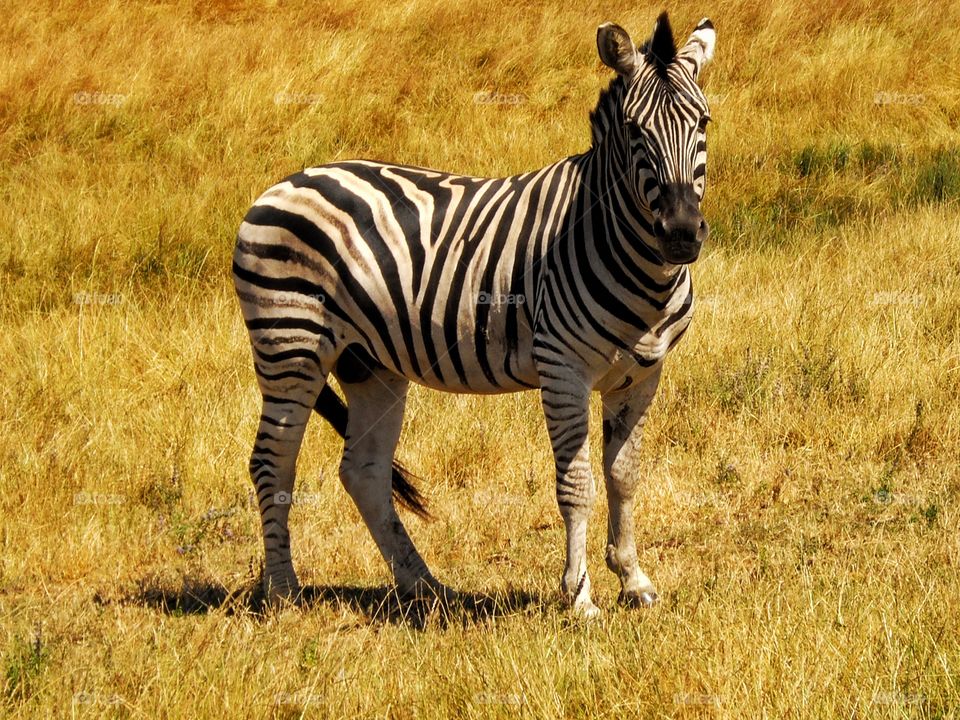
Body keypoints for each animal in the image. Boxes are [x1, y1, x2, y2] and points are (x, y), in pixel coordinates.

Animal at [233, 13, 715, 617]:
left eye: (704, 122)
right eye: (634, 132)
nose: (681, 234)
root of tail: (283, 183)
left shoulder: (643, 373)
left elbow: (624, 475)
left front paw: (633, 579)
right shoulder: (563, 369)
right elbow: (577, 482)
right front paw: (579, 596)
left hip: (368, 363)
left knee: (363, 471)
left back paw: (424, 586)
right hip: (290, 344)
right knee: (271, 463)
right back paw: (283, 591)